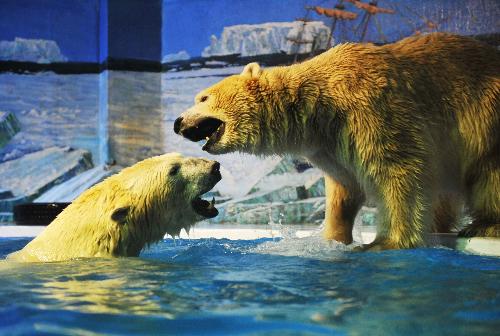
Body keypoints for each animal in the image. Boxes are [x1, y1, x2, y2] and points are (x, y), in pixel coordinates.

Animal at [174, 33, 498, 249]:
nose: (177, 122)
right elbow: (344, 187)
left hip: (485, 114)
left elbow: (400, 170)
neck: (322, 103)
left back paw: (484, 224)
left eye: (203, 98)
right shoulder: (331, 144)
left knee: (488, 172)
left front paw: (384, 242)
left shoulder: (373, 108)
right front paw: (330, 237)